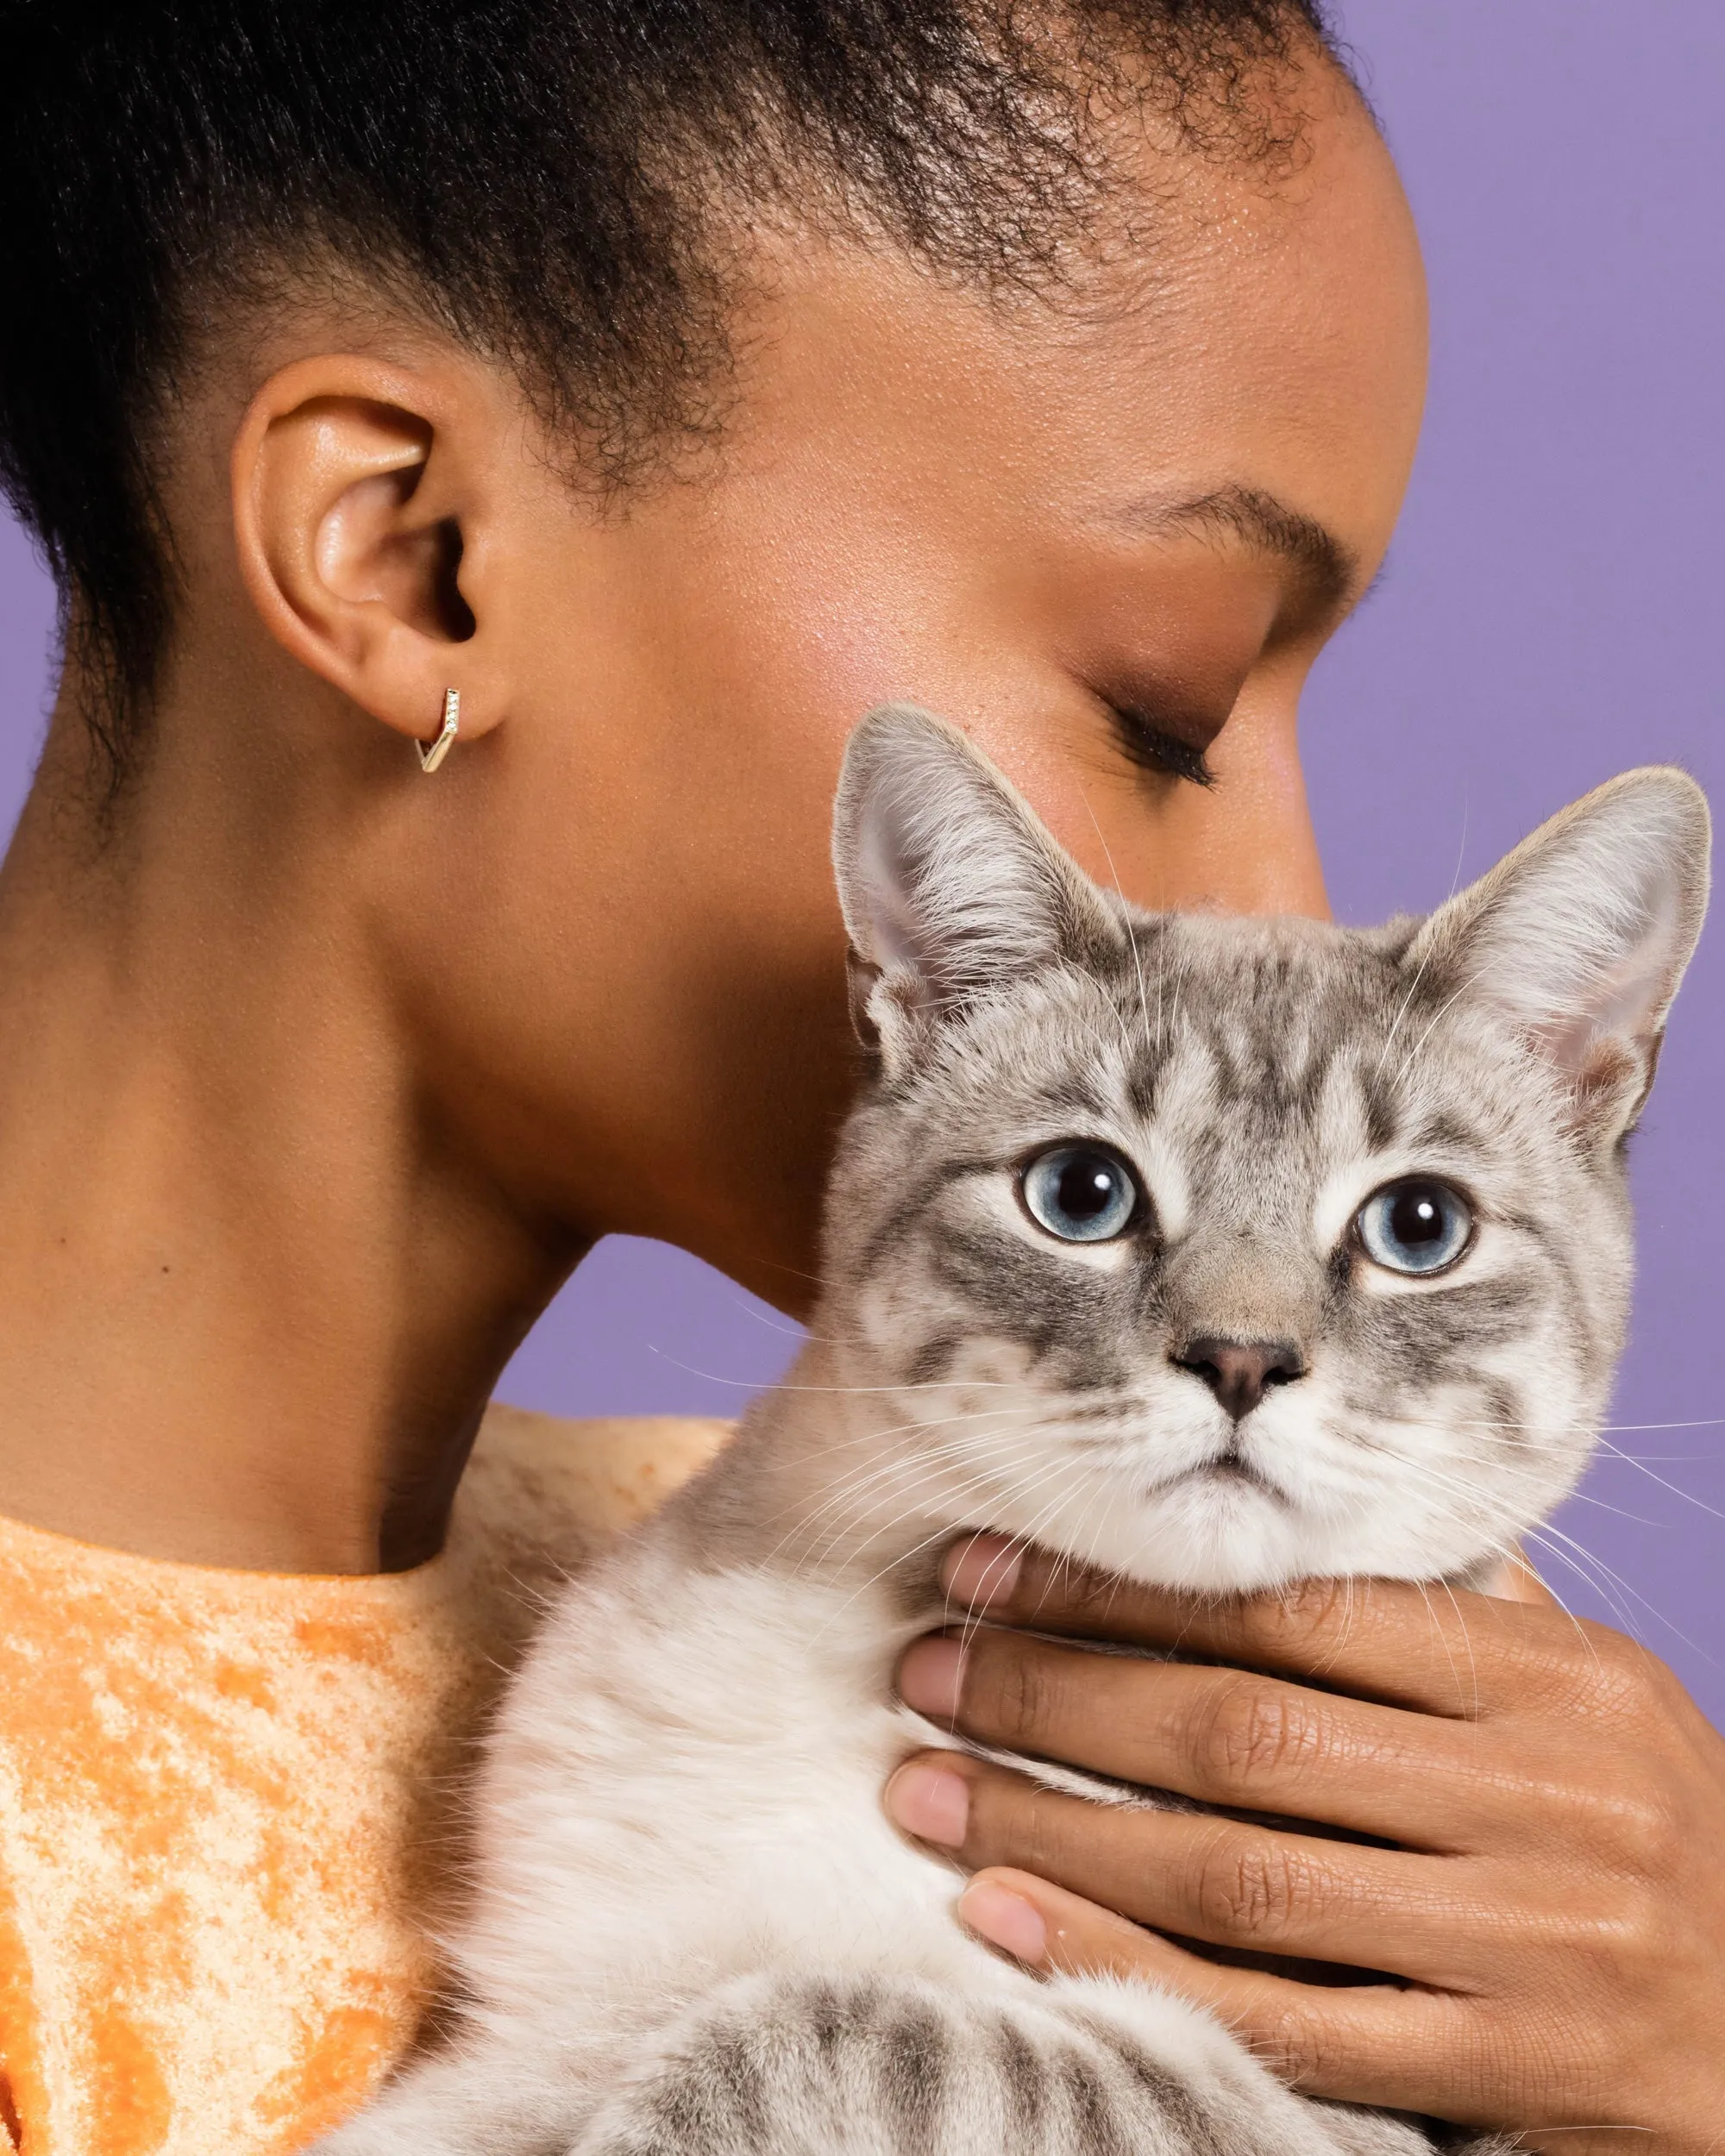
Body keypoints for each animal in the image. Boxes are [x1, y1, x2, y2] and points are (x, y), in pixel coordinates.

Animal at [319, 707, 1708, 2156]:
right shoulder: (553, 2000)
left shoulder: (1355, 2118)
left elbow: (826, 2023)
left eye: (1419, 1227)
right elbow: (485, 2101)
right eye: (1082, 1194)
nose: (1243, 1358)